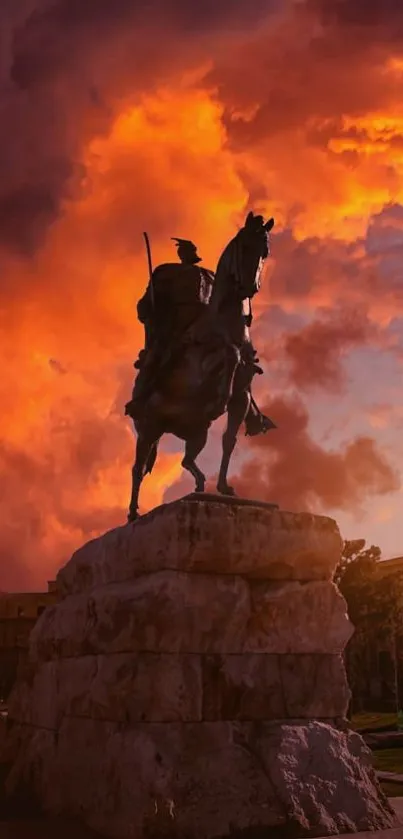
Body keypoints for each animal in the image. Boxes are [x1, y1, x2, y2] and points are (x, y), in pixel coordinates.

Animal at [126, 212, 276, 520]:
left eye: (264, 251)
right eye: (245, 246)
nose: (249, 288)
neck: (226, 323)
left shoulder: (242, 396)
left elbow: (229, 440)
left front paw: (224, 488)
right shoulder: (202, 367)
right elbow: (230, 354)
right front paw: (217, 401)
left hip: (197, 433)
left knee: (186, 460)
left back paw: (199, 484)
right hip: (148, 429)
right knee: (138, 468)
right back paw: (133, 513)